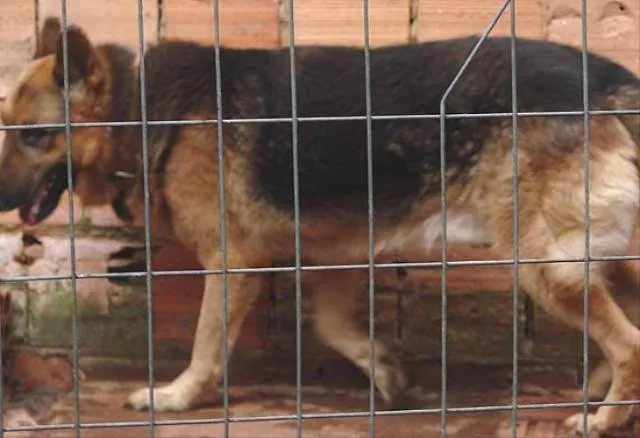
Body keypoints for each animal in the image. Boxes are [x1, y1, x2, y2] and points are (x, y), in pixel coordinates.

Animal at [1, 16, 640, 434]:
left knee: (629, 340)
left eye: (34, 136)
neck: (138, 107)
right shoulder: (341, 252)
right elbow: (331, 326)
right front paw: (385, 371)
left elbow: (207, 340)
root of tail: (607, 78)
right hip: (594, 258)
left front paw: (179, 396)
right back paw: (603, 388)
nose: (2, 203)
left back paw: (606, 417)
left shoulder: (231, 265)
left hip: (545, 266)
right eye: (9, 128)